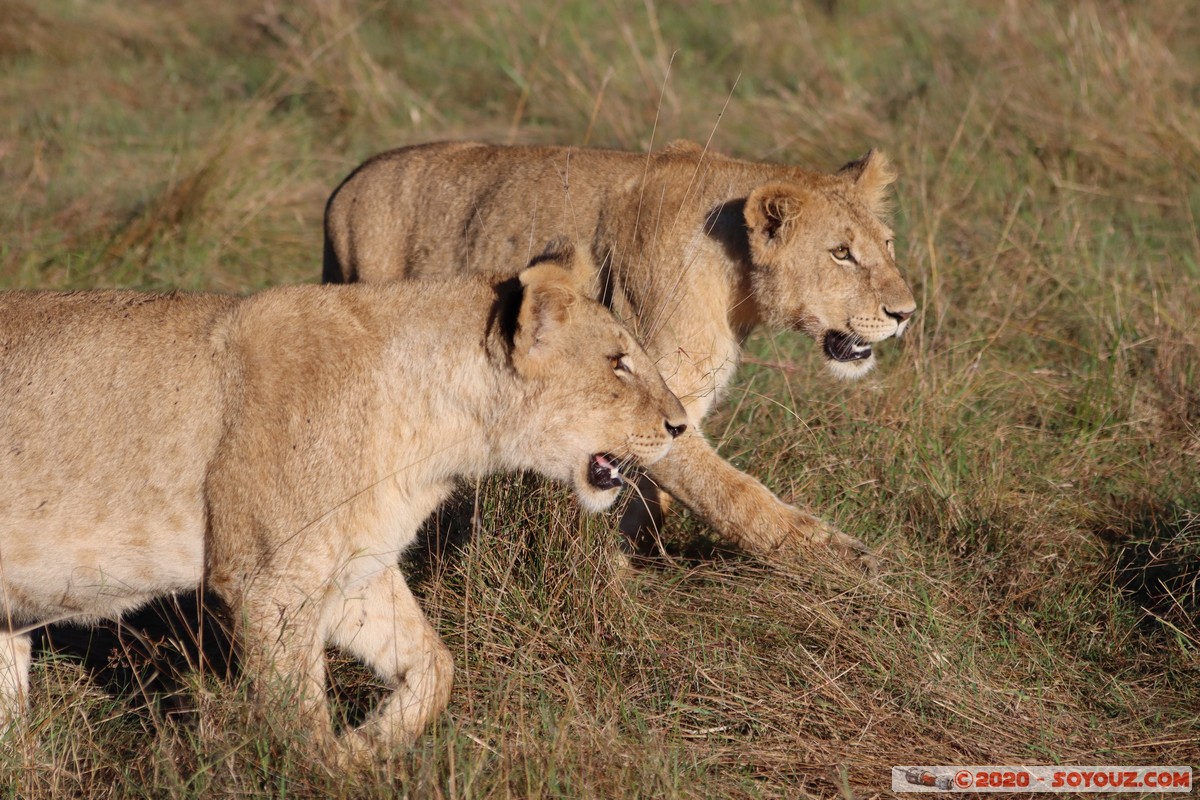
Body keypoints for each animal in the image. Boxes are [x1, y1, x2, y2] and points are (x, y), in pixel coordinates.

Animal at [0, 247, 686, 762]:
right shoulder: (269, 580)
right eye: (618, 363)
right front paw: (326, 769)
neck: (436, 431)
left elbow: (435, 665)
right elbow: (299, 717)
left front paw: (367, 746)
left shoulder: (356, 566)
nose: (680, 425)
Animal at [324, 140, 912, 573]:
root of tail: (344, 186)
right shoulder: (654, 384)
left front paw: (625, 557)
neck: (737, 280)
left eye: (887, 244)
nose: (905, 313)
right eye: (841, 253)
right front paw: (840, 559)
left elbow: (650, 495)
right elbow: (731, 492)